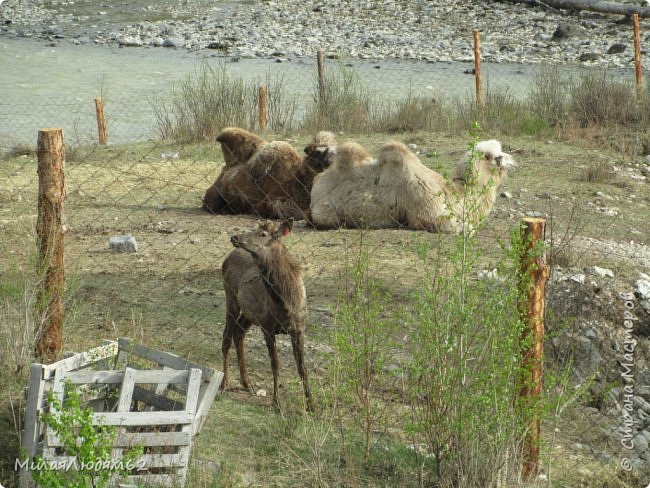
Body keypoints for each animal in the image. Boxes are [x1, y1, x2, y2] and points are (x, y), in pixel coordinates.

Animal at [219, 219, 312, 410]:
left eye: (262, 234)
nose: (235, 237)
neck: (287, 303)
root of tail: (227, 258)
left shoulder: (299, 328)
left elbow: (302, 367)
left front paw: (312, 405)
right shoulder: (267, 326)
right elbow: (275, 364)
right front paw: (277, 403)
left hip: (249, 313)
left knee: (238, 333)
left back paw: (247, 383)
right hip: (231, 297)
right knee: (226, 338)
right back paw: (225, 383)